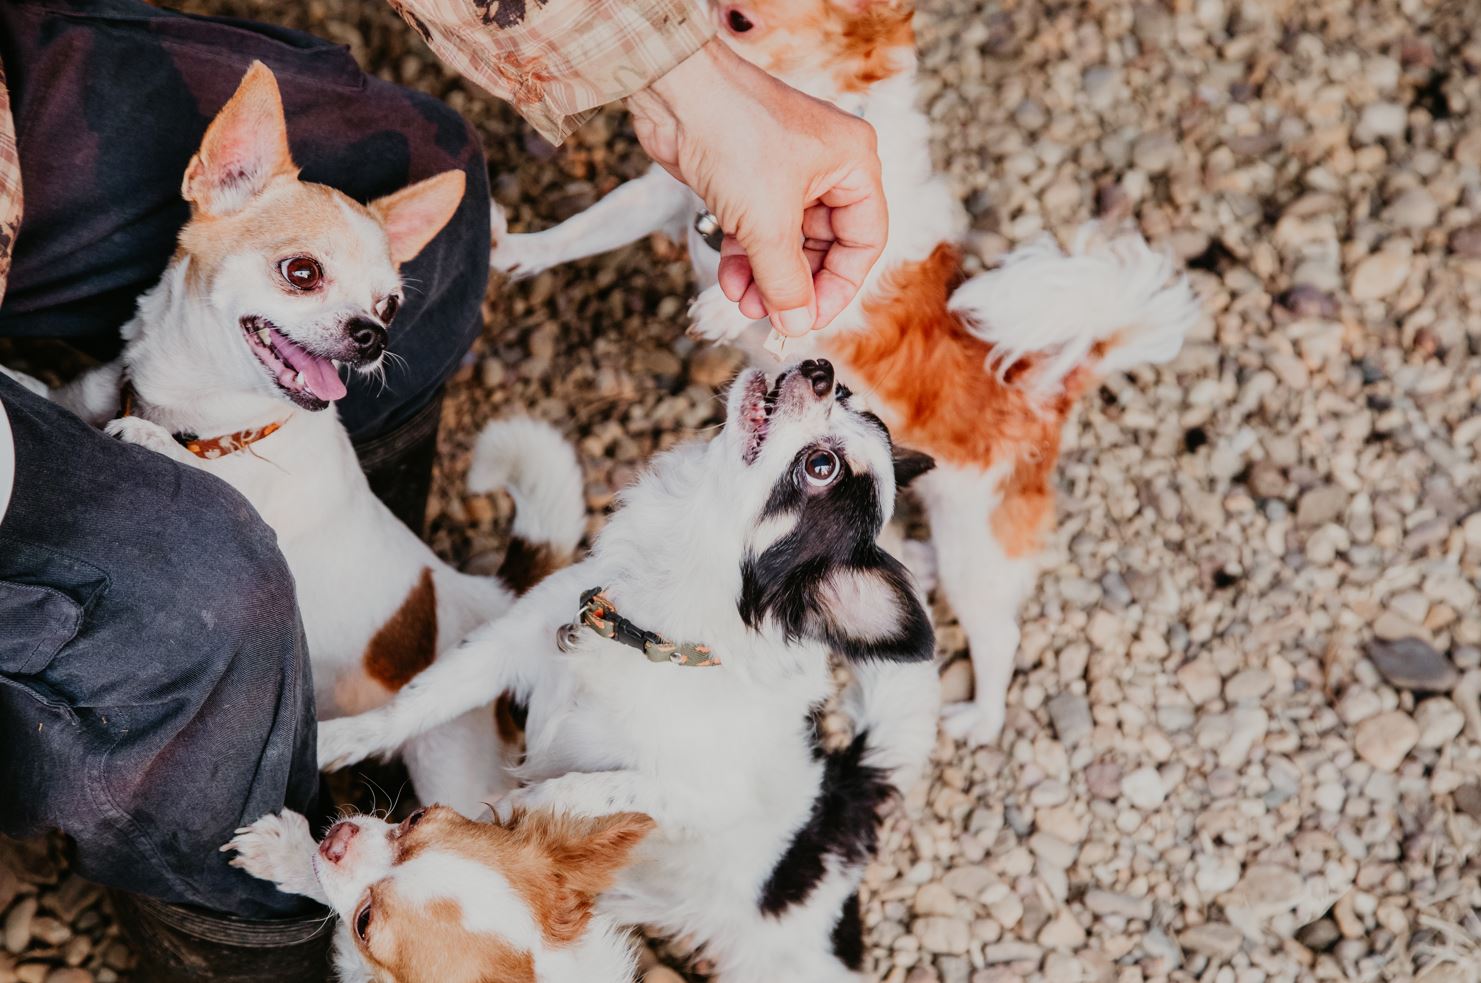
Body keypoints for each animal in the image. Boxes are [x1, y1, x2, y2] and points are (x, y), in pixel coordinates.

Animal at [66, 63, 583, 811]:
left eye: (389, 304)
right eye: (302, 272)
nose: (374, 335)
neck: (220, 422)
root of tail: (487, 597)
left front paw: (146, 437)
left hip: (453, 765)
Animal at [319, 359, 941, 977]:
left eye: (821, 467)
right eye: (847, 396)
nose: (821, 368)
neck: (644, 634)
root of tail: (846, 800)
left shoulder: (703, 795)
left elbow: (602, 786)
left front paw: (524, 808)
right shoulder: (505, 647)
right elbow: (414, 703)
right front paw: (334, 740)